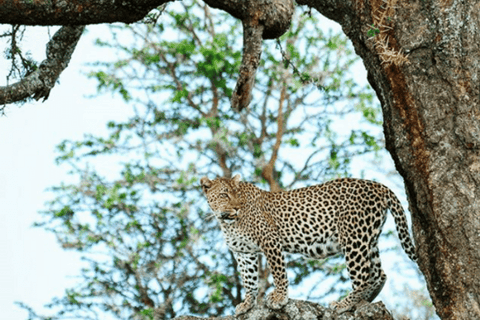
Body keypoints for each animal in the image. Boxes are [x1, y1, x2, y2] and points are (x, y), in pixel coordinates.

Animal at [199, 174, 416, 316]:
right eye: (224, 195)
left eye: (238, 194)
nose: (236, 208)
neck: (226, 221)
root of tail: (379, 186)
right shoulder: (243, 252)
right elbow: (249, 280)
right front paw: (247, 304)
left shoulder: (270, 240)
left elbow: (279, 273)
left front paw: (279, 298)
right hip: (368, 238)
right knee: (378, 274)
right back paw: (365, 301)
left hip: (353, 238)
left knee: (363, 276)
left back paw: (344, 305)